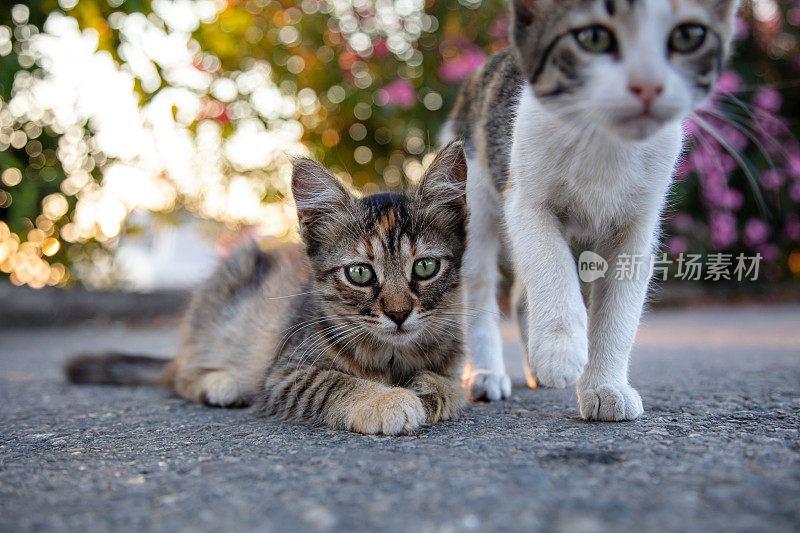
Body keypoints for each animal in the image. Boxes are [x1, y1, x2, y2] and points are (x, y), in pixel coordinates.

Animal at [69, 142, 472, 436]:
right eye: (360, 273)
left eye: (425, 267)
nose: (398, 313)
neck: (393, 357)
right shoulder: (283, 375)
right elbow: (335, 382)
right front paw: (387, 401)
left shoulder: (455, 365)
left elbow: (454, 387)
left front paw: (430, 390)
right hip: (232, 274)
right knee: (180, 375)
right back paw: (222, 382)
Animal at [440, 0, 740, 420]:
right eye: (594, 38)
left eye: (687, 37)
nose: (647, 84)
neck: (605, 143)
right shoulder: (526, 202)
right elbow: (551, 266)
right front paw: (561, 348)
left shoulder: (637, 227)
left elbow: (619, 313)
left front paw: (605, 386)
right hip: (479, 195)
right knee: (480, 285)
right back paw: (486, 373)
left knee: (519, 295)